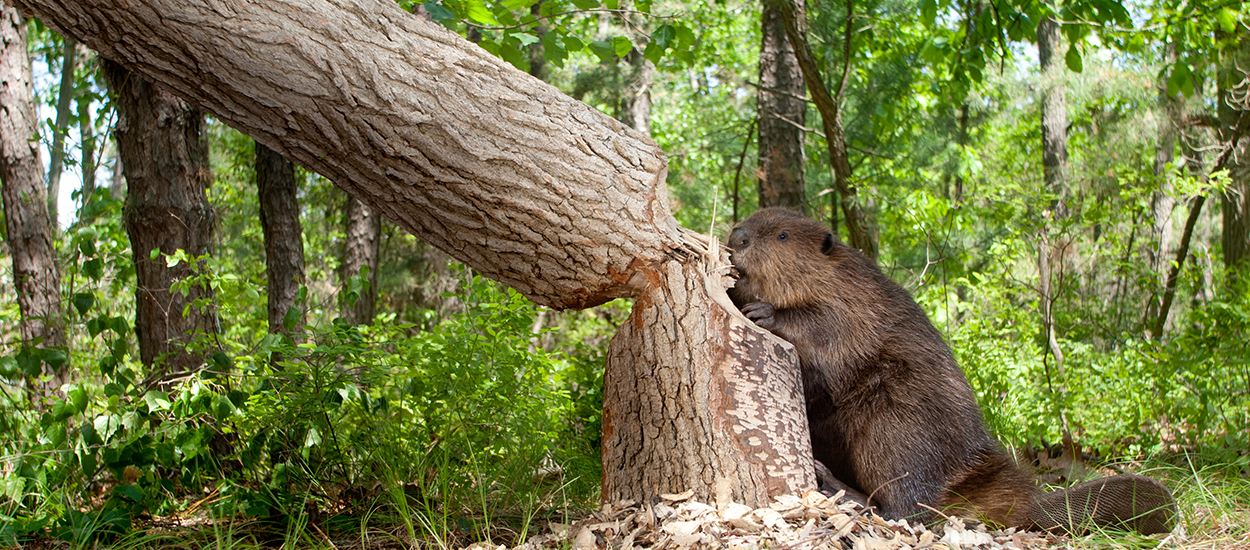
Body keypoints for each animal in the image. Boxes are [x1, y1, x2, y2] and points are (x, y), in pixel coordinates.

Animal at [730, 206, 1175, 532]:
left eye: (782, 236)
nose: (737, 237)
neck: (834, 275)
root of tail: (1025, 503)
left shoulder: (855, 301)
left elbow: (824, 327)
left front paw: (763, 311)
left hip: (896, 425)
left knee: (911, 507)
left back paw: (841, 489)